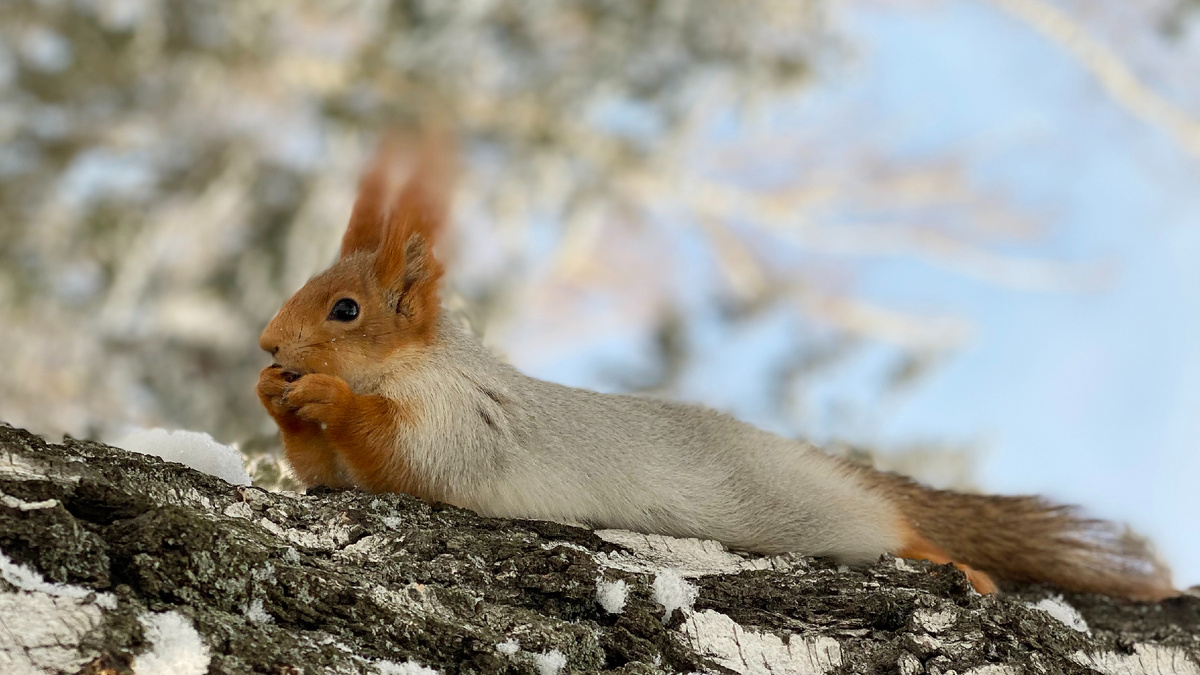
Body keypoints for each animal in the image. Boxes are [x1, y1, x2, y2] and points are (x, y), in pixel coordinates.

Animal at [255, 138, 1171, 598]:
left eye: (346, 311)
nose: (267, 344)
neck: (408, 367)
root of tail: (812, 462)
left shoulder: (464, 422)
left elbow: (402, 453)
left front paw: (325, 393)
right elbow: (324, 467)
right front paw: (276, 398)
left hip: (820, 514)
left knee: (893, 527)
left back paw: (955, 562)